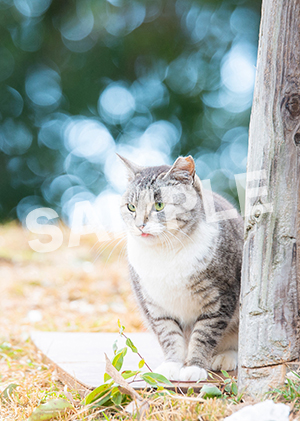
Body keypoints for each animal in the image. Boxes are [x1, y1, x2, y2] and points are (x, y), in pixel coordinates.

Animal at [118, 154, 243, 380]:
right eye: (131, 207)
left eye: (159, 205)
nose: (140, 225)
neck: (165, 254)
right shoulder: (155, 306)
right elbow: (169, 335)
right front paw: (172, 365)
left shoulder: (219, 300)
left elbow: (203, 336)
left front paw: (194, 367)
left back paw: (225, 357)